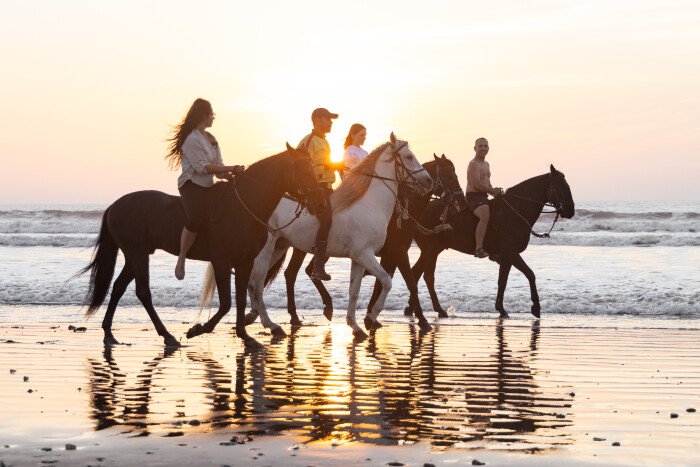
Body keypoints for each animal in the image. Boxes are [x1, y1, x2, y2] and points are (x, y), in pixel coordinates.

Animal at [77, 144, 326, 350]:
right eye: (303, 171)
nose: (320, 203)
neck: (243, 207)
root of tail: (114, 206)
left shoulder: (244, 263)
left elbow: (240, 299)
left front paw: (245, 336)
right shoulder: (221, 262)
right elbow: (226, 303)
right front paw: (198, 329)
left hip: (135, 255)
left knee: (119, 287)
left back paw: (109, 333)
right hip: (137, 254)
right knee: (142, 292)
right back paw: (167, 335)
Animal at [200, 133, 434, 338]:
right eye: (409, 157)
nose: (428, 180)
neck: (370, 204)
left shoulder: (359, 259)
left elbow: (355, 291)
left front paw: (355, 326)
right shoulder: (366, 255)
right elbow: (387, 281)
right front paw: (371, 317)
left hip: (279, 247)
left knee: (255, 282)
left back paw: (256, 318)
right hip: (266, 250)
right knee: (256, 282)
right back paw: (270, 323)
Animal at [272, 155, 464, 330]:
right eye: (449, 174)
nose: (461, 200)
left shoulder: (387, 256)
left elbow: (381, 283)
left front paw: (370, 316)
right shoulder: (398, 252)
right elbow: (408, 283)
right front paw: (422, 320)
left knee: (296, 272)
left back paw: (306, 312)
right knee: (302, 272)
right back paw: (313, 310)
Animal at [410, 165, 576, 318]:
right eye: (561, 186)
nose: (571, 211)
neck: (516, 210)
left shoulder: (507, 258)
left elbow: (502, 282)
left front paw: (501, 309)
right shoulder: (511, 253)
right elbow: (530, 274)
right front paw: (536, 307)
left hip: (431, 250)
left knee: (416, 273)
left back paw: (411, 308)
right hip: (430, 250)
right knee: (427, 277)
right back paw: (438, 309)